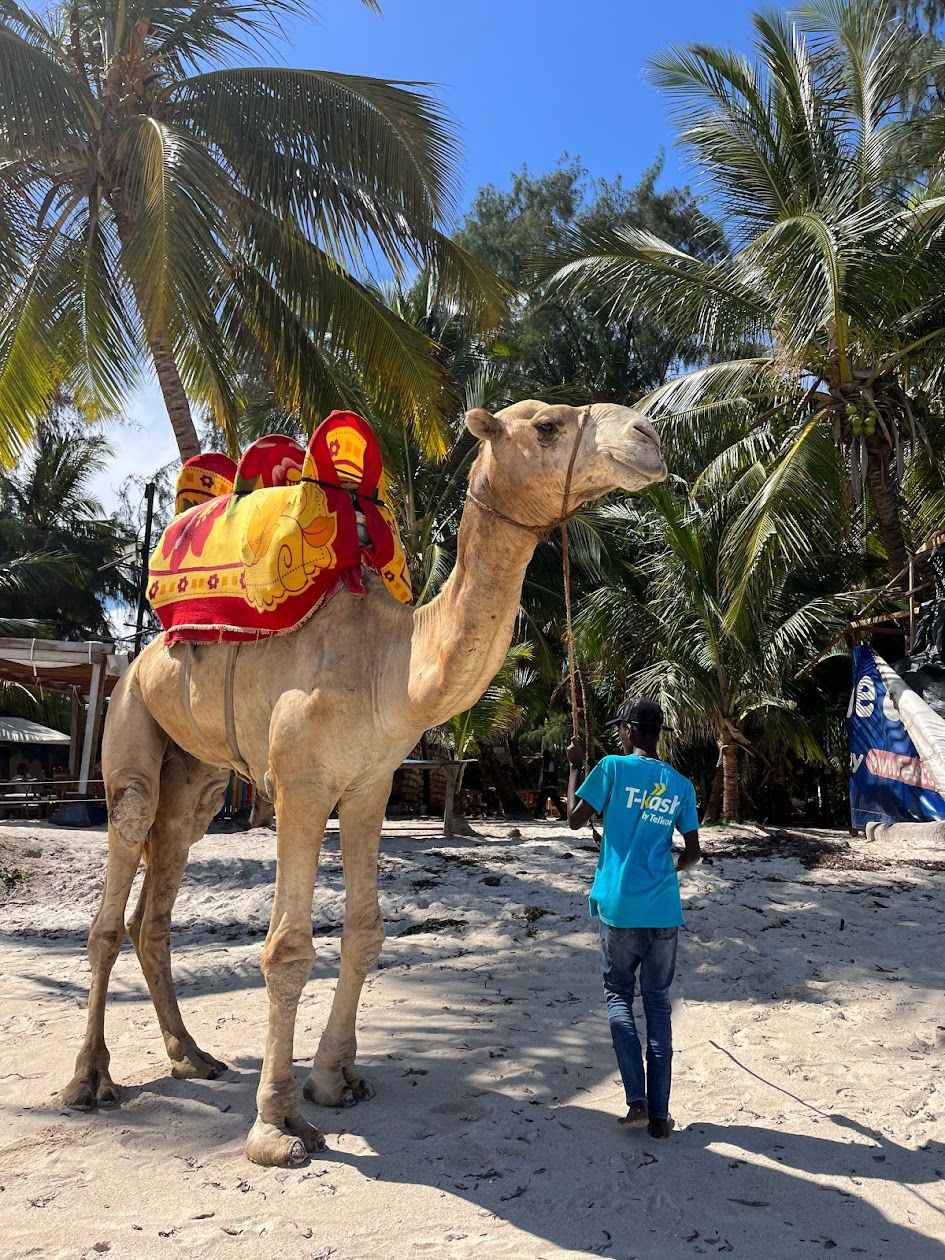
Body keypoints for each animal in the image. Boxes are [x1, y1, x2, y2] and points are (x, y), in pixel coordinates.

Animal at [62, 399, 667, 1167]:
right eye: (548, 426)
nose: (647, 438)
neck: (392, 666)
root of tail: (140, 653)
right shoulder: (300, 781)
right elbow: (288, 952)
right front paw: (276, 1126)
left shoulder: (369, 785)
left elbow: (366, 931)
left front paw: (334, 1080)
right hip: (129, 715)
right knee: (117, 887)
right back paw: (89, 1079)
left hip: (196, 777)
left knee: (161, 891)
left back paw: (191, 1057)